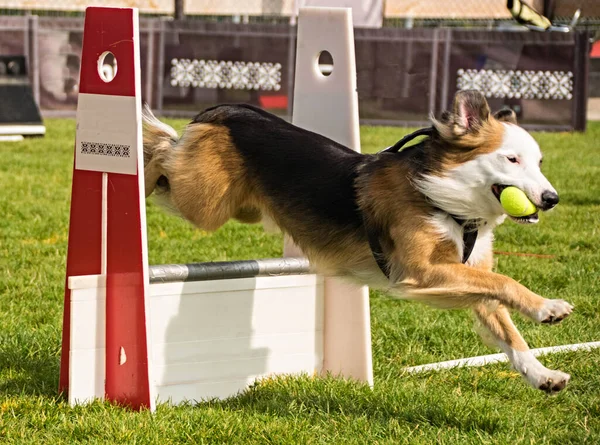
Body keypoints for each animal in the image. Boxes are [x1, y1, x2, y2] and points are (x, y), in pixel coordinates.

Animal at [143, 89, 576, 392]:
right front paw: (547, 308)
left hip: (240, 207)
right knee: (163, 154)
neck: (446, 196)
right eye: (511, 160)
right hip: (204, 203)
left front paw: (542, 375)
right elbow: (504, 282)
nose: (552, 199)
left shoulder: (467, 277)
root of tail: (224, 110)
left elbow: (507, 326)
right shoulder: (421, 271)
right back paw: (138, 152)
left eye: (538, 162)